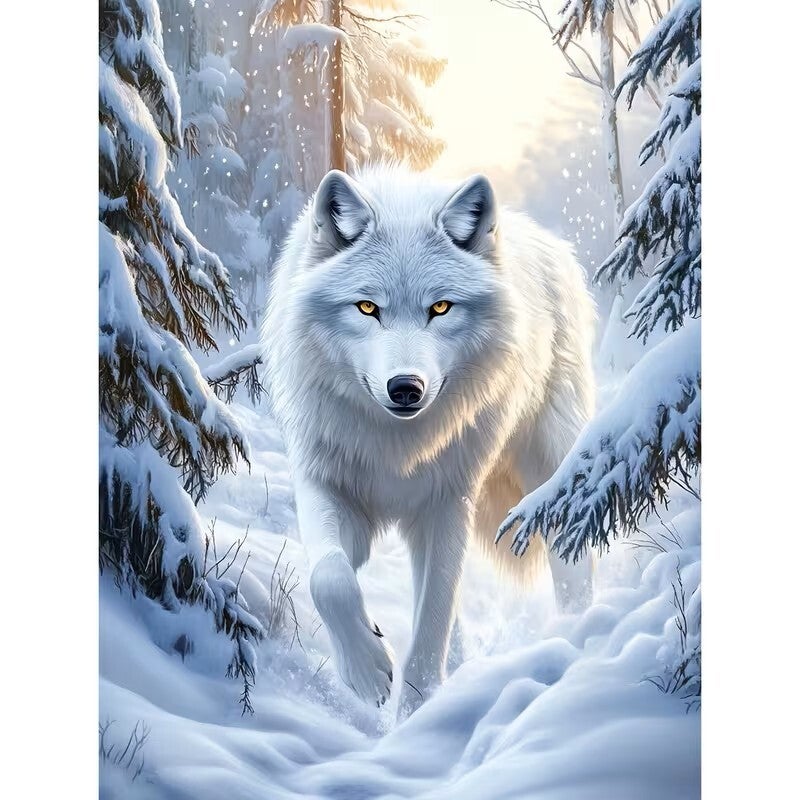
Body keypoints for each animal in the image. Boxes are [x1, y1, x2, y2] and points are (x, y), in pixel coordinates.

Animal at [262, 165, 596, 715]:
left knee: (572, 560)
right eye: (367, 307)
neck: (398, 446)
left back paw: (576, 634)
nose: (406, 387)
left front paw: (415, 718)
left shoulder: (447, 504)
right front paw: (367, 671)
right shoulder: (327, 485)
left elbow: (429, 631)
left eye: (440, 307)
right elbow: (329, 579)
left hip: (549, 470)